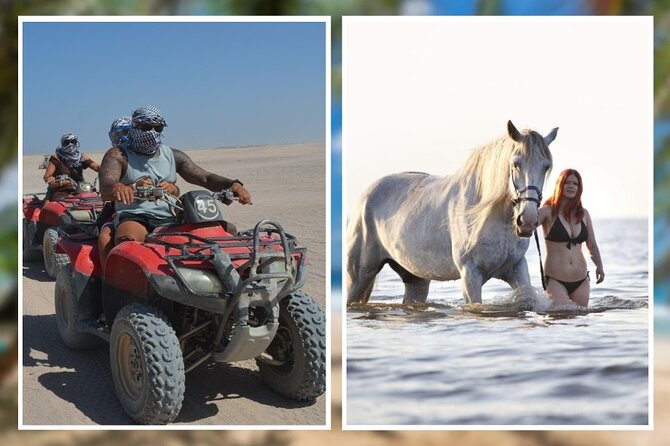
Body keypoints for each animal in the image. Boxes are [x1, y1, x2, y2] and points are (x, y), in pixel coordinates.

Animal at [346, 120, 558, 305]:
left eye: (546, 166)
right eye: (515, 164)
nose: (527, 220)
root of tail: (364, 196)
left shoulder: (516, 268)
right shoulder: (470, 274)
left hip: (415, 279)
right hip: (358, 277)